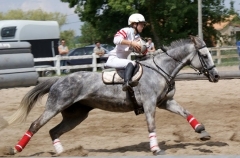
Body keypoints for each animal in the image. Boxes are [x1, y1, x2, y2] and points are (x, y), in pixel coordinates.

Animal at [1, 35, 219, 155]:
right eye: (205, 55)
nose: (216, 76)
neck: (161, 69)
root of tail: (57, 80)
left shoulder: (165, 102)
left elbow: (185, 112)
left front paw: (202, 131)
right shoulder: (149, 104)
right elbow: (151, 126)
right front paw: (156, 149)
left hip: (76, 115)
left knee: (54, 131)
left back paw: (64, 153)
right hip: (55, 106)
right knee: (35, 125)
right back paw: (16, 149)